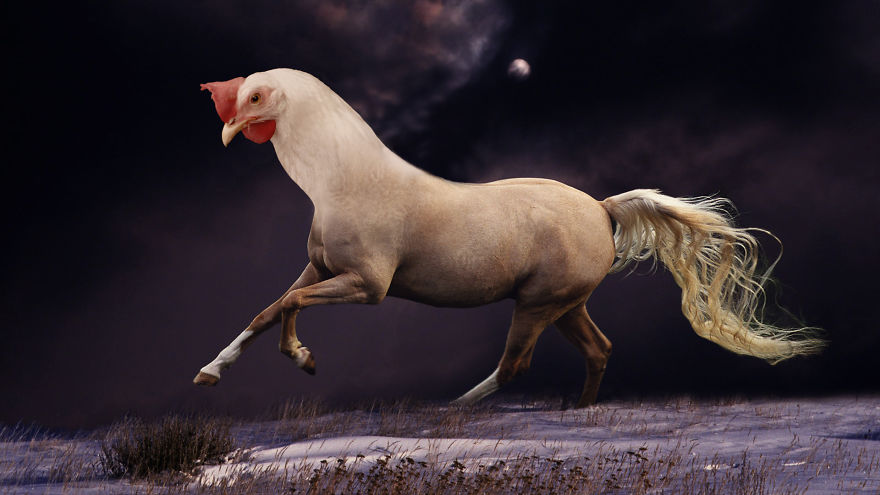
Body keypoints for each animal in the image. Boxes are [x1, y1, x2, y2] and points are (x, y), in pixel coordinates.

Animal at [194, 69, 823, 407]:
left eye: (254, 98)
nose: (225, 135)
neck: (346, 181)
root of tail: (601, 209)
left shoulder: (367, 285)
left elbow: (290, 307)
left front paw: (303, 360)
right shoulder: (321, 269)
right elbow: (268, 309)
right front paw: (210, 372)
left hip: (539, 304)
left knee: (516, 365)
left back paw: (449, 411)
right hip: (566, 304)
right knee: (599, 349)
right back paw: (579, 412)